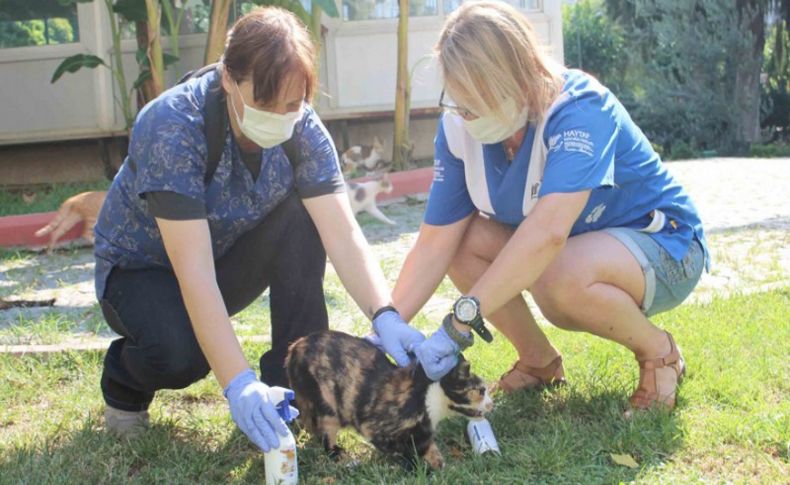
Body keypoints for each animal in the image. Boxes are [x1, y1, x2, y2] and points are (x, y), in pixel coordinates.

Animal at [284, 328, 496, 468]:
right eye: (480, 390)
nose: (491, 404)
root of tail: (294, 347)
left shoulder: (422, 433)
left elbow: (427, 447)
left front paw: (438, 465)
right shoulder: (374, 428)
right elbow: (403, 451)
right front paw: (417, 468)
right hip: (326, 407)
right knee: (326, 436)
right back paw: (340, 456)